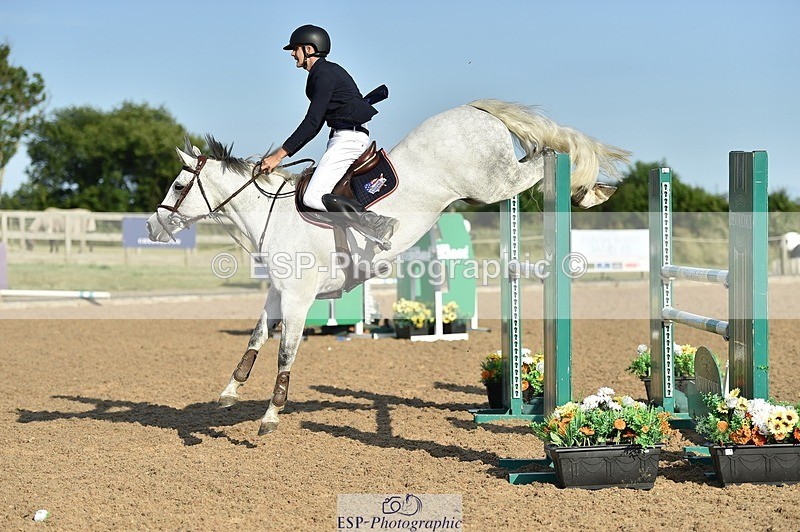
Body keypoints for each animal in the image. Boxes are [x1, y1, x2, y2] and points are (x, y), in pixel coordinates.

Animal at [146, 99, 631, 435]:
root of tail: (474, 108)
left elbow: (285, 353)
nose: (153, 225)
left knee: (542, 156)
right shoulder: (278, 294)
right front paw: (229, 393)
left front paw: (270, 416)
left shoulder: (299, 299)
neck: (272, 214)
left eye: (178, 184)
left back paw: (587, 188)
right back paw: (593, 189)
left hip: (493, 182)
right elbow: (256, 338)